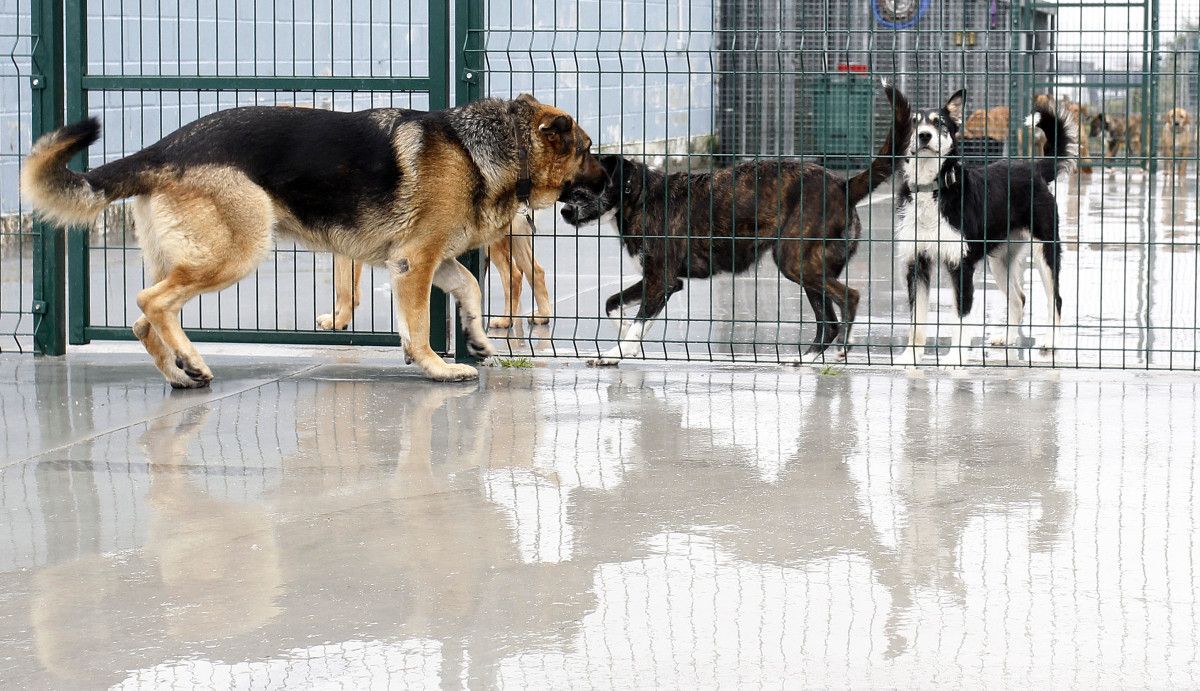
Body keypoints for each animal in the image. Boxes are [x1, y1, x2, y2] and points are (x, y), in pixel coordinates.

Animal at [18, 92, 600, 383]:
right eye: (587, 149)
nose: (611, 178)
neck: (491, 146)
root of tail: (160, 148)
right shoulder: (417, 261)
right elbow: (419, 324)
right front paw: (436, 366)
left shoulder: (424, 262)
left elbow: (471, 291)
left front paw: (477, 339)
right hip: (237, 252)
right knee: (150, 302)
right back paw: (192, 361)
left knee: (143, 318)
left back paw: (179, 373)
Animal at [556, 82, 912, 367]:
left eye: (584, 183)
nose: (561, 208)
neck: (638, 195)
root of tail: (843, 185)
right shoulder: (659, 281)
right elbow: (612, 305)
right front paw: (624, 339)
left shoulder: (662, 281)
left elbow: (637, 322)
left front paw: (616, 353)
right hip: (809, 269)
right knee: (828, 322)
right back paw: (806, 359)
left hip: (796, 262)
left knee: (849, 298)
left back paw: (843, 347)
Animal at [892, 88, 1080, 364]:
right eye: (914, 123)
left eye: (940, 123)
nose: (924, 135)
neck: (932, 189)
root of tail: (1034, 168)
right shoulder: (917, 263)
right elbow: (917, 320)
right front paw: (910, 357)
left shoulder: (961, 265)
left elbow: (961, 318)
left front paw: (954, 360)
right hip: (999, 261)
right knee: (1019, 298)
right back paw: (1008, 338)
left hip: (1046, 251)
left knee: (1055, 298)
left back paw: (1051, 341)